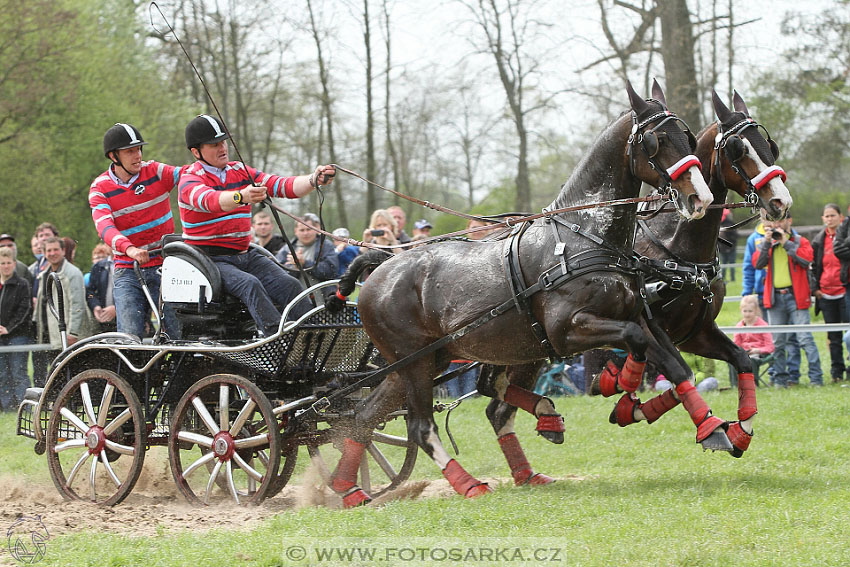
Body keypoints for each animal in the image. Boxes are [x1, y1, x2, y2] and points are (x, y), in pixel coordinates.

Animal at [324, 82, 716, 508]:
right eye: (655, 141)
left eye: (688, 136)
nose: (700, 198)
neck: (585, 236)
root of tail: (380, 267)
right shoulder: (568, 331)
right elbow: (635, 343)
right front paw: (620, 386)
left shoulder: (639, 316)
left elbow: (674, 365)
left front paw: (715, 429)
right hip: (416, 365)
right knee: (421, 426)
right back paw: (467, 483)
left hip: (421, 361)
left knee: (364, 418)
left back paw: (347, 488)